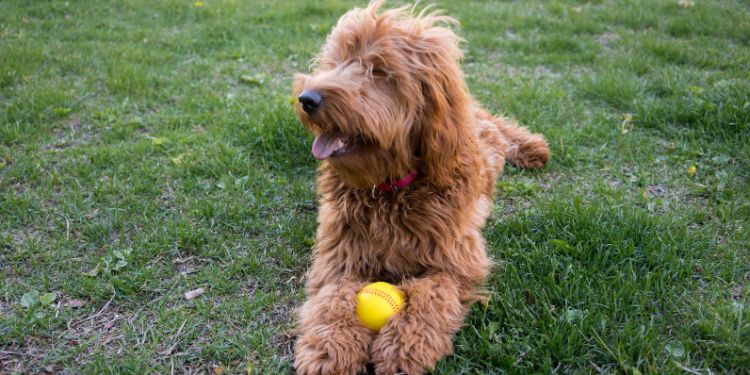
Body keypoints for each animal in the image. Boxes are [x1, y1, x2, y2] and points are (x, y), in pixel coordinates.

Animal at [290, 1, 548, 374]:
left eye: (379, 71)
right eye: (335, 61)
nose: (307, 98)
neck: (390, 190)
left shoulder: (454, 261)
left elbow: (431, 296)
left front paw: (404, 347)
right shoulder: (340, 258)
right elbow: (332, 299)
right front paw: (329, 348)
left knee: (498, 124)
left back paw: (532, 147)